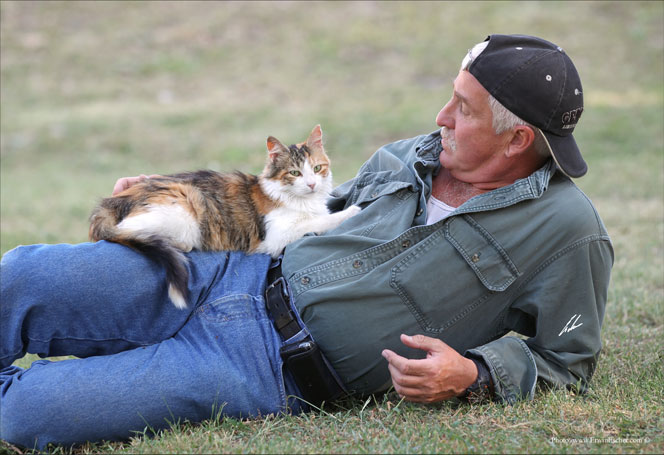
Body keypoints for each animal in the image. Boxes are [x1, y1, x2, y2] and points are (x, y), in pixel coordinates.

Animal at [89, 125, 360, 309]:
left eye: (317, 168)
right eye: (294, 173)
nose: (312, 184)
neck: (302, 200)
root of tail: (113, 201)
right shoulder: (276, 236)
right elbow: (320, 220)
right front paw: (352, 211)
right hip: (187, 203)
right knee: (133, 230)